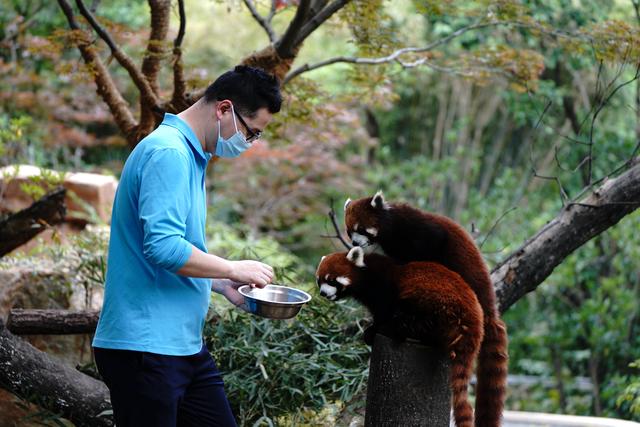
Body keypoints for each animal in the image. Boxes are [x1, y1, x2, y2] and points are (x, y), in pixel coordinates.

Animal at [316, 247, 484, 427]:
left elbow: (384, 311)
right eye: (319, 280)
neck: (366, 274)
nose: (323, 293)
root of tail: (475, 321)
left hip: (435, 303)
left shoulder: (383, 287)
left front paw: (373, 330)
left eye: (332, 280)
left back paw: (395, 330)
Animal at [342, 192, 508, 427]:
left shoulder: (417, 230)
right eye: (350, 230)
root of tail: (490, 309)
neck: (390, 229)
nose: (354, 243)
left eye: (362, 229)